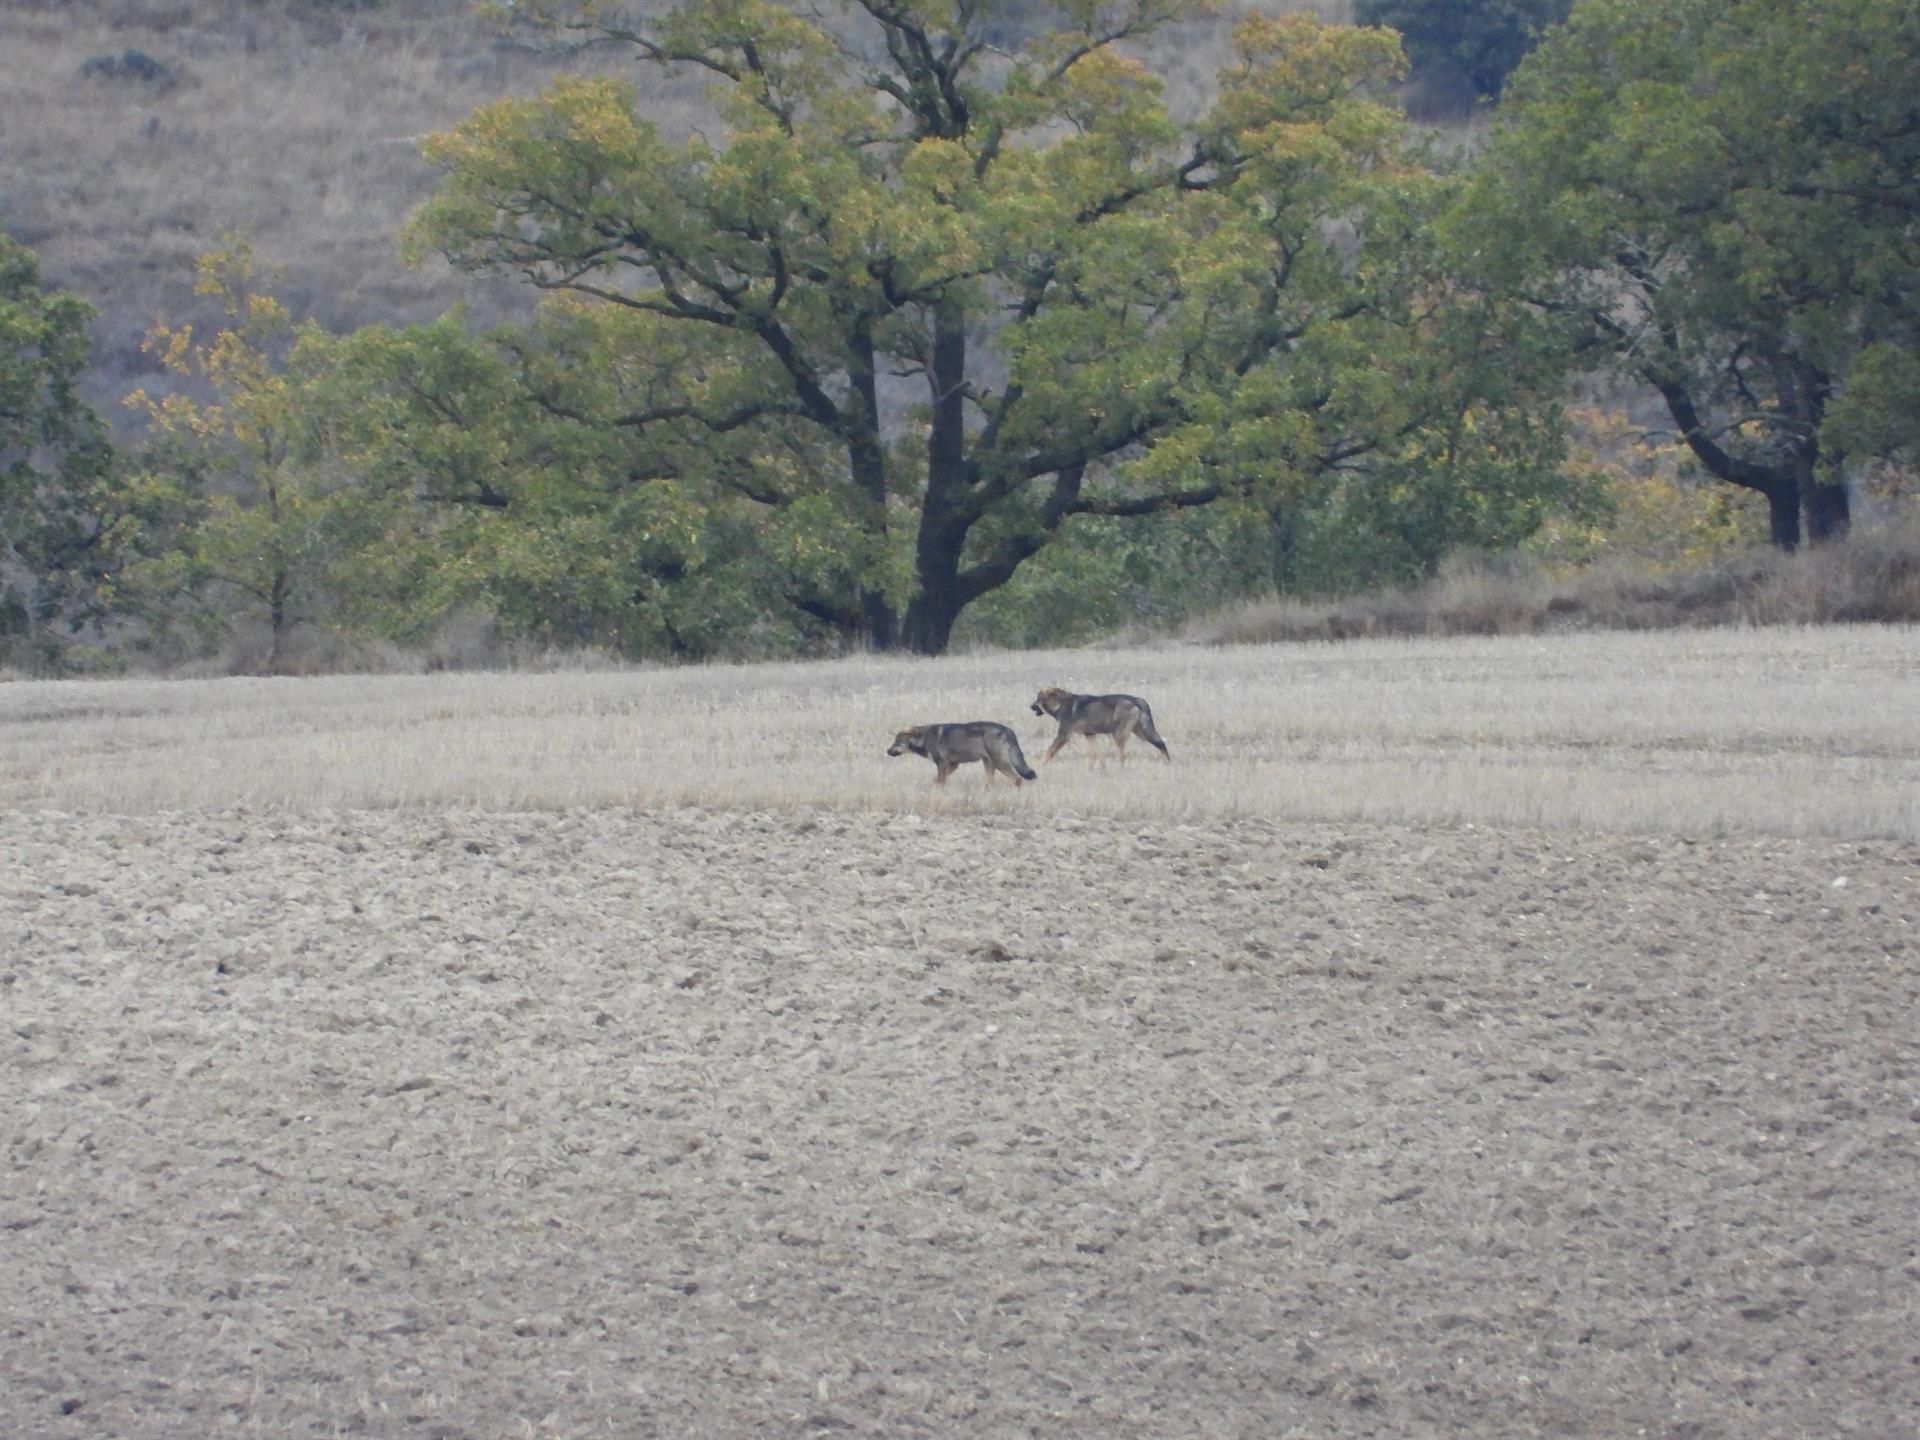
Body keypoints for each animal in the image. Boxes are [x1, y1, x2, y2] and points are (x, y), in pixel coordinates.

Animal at [883, 721, 1036, 791]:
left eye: (896, 743)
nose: (887, 751)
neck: (924, 739)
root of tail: (1008, 729)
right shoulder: (953, 764)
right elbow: (936, 780)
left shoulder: (942, 764)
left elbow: (940, 780)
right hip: (988, 763)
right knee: (991, 782)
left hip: (999, 763)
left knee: (1017, 779)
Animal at [1036, 691, 1167, 768]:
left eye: (1037, 700)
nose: (1031, 706)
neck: (1060, 704)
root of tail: (1136, 699)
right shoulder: (1089, 734)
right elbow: (1093, 755)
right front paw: (1093, 769)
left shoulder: (1064, 735)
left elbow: (1049, 751)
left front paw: (1040, 765)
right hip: (1142, 733)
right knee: (1162, 744)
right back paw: (1166, 763)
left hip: (1119, 735)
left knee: (1123, 756)